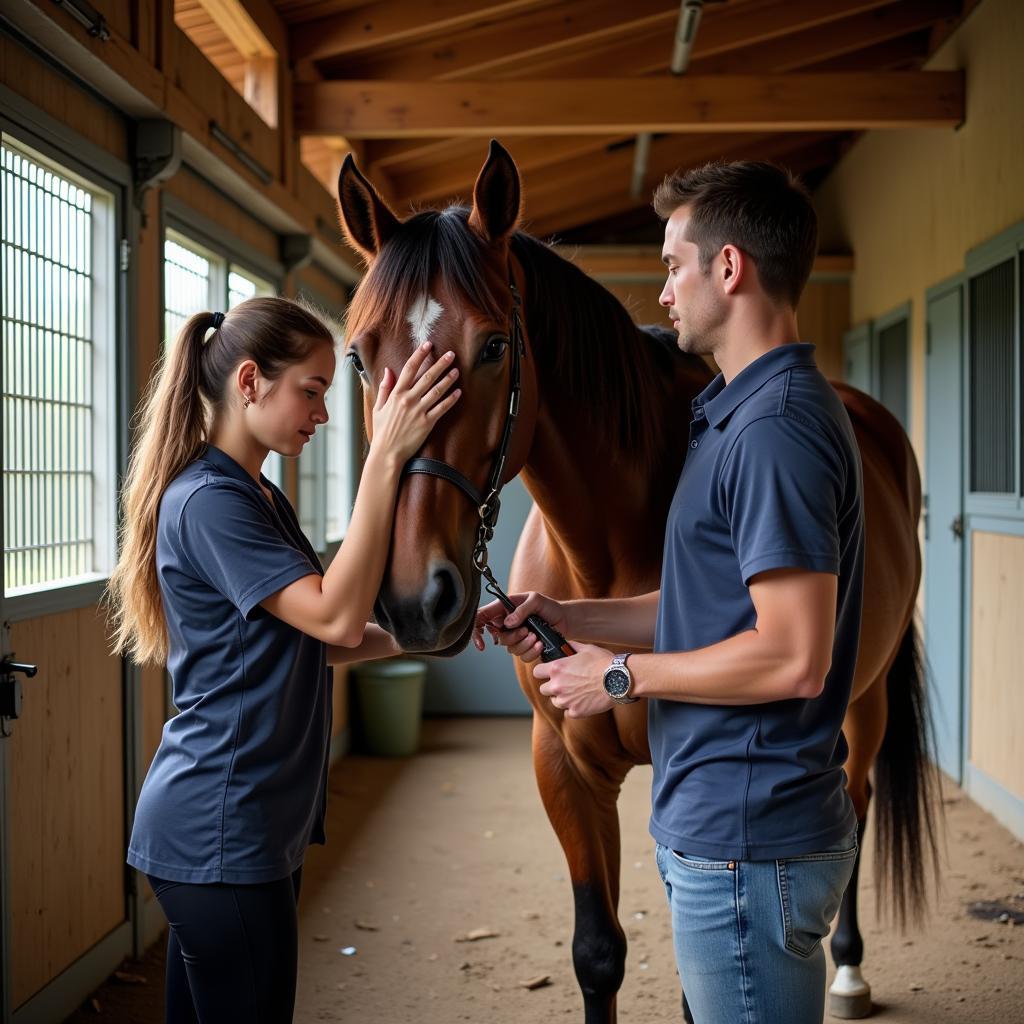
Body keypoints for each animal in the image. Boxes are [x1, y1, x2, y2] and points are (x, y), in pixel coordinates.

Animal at [335, 140, 937, 1019]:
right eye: (357, 353)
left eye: (494, 347)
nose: (418, 600)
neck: (608, 550)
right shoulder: (564, 766)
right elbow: (597, 954)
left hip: (865, 703)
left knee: (851, 814)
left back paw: (850, 971)